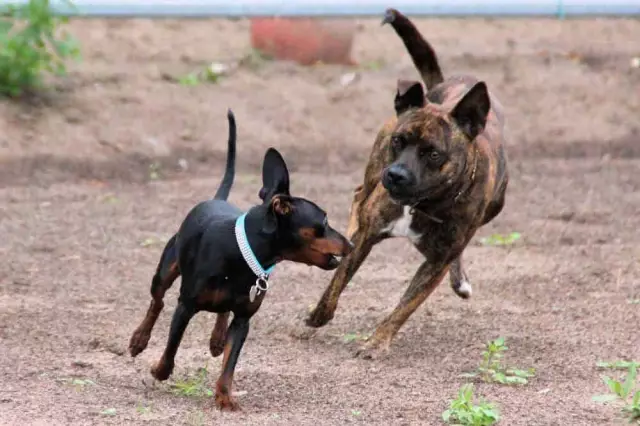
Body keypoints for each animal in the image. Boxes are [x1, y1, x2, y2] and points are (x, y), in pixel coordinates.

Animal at [127, 110, 352, 410]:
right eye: (324, 222)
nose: (351, 243)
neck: (241, 255)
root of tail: (216, 198)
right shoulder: (185, 307)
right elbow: (172, 345)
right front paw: (160, 370)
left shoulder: (243, 320)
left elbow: (230, 363)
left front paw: (224, 397)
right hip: (166, 268)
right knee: (157, 301)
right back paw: (139, 339)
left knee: (221, 313)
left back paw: (217, 338)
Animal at [304, 8, 510, 358]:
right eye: (399, 141)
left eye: (433, 153)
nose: (397, 175)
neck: (421, 204)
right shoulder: (368, 236)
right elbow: (339, 280)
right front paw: (318, 315)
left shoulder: (437, 263)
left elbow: (405, 306)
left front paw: (377, 342)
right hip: (374, 170)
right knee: (359, 196)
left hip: (493, 207)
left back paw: (461, 280)